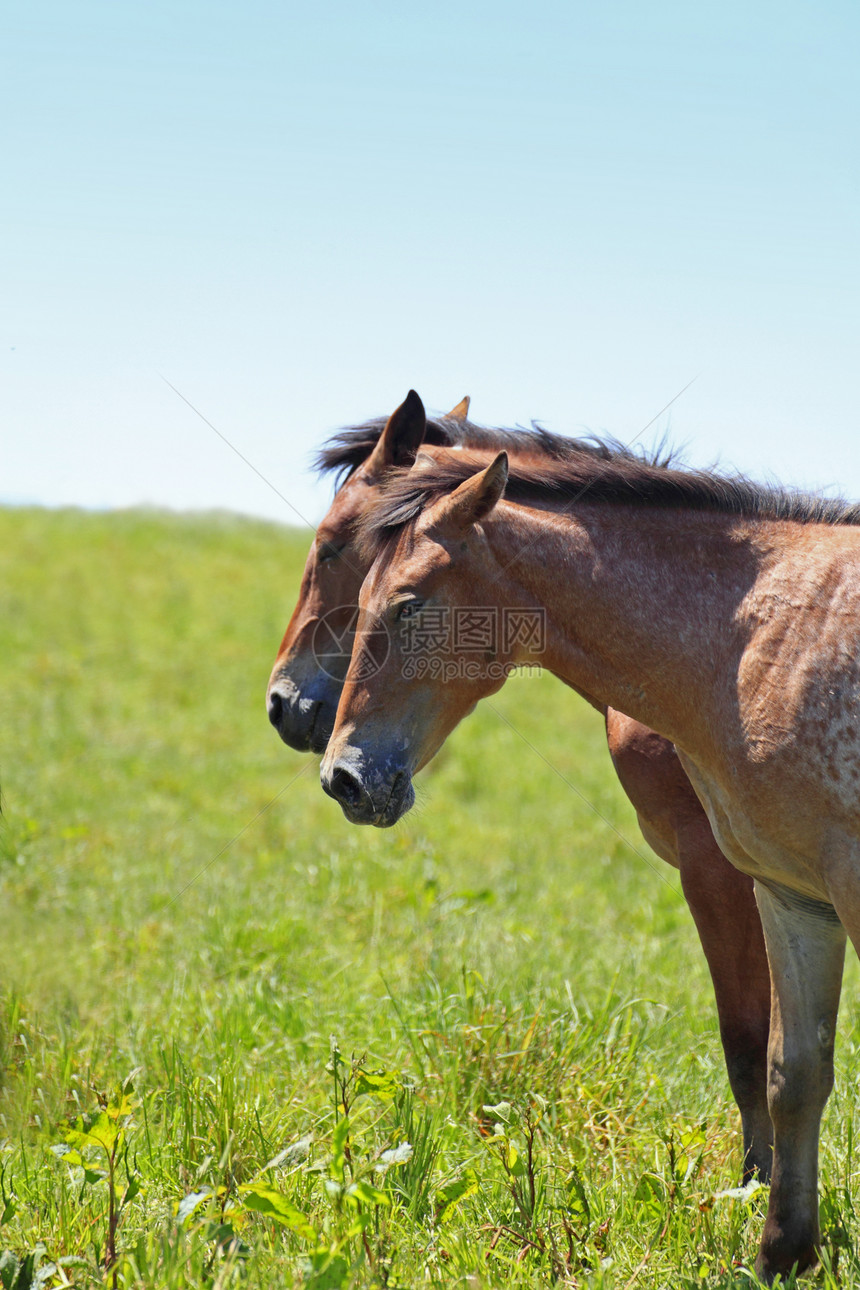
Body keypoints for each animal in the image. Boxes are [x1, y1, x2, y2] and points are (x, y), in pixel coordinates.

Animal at [321, 425, 860, 1279]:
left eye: (406, 605)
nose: (341, 776)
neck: (758, 637)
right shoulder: (793, 896)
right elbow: (793, 1073)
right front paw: (783, 1253)